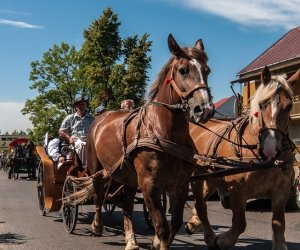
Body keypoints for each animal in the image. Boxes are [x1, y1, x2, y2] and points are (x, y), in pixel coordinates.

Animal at [67, 34, 214, 249]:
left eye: (207, 71)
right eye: (183, 70)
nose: (205, 108)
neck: (164, 132)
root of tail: (101, 117)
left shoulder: (179, 185)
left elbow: (174, 223)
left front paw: (156, 242)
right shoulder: (149, 185)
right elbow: (162, 226)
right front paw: (158, 241)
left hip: (128, 175)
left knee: (127, 205)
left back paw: (130, 239)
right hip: (96, 167)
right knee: (98, 192)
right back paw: (97, 225)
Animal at [186, 66, 296, 250]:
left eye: (289, 106)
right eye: (261, 105)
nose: (271, 148)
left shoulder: (282, 191)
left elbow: (278, 224)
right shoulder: (237, 191)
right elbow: (239, 223)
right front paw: (223, 240)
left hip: (211, 178)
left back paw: (194, 223)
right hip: (196, 177)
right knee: (200, 205)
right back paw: (209, 236)